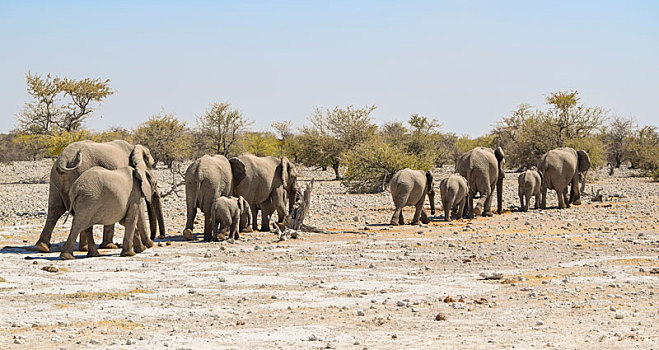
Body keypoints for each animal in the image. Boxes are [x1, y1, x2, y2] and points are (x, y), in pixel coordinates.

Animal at [34, 141, 166, 253]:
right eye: (151, 165)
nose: (158, 237)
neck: (134, 147)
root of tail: (64, 159)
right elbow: (139, 210)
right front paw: (148, 245)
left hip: (55, 178)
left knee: (55, 210)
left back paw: (43, 247)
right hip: (78, 174)